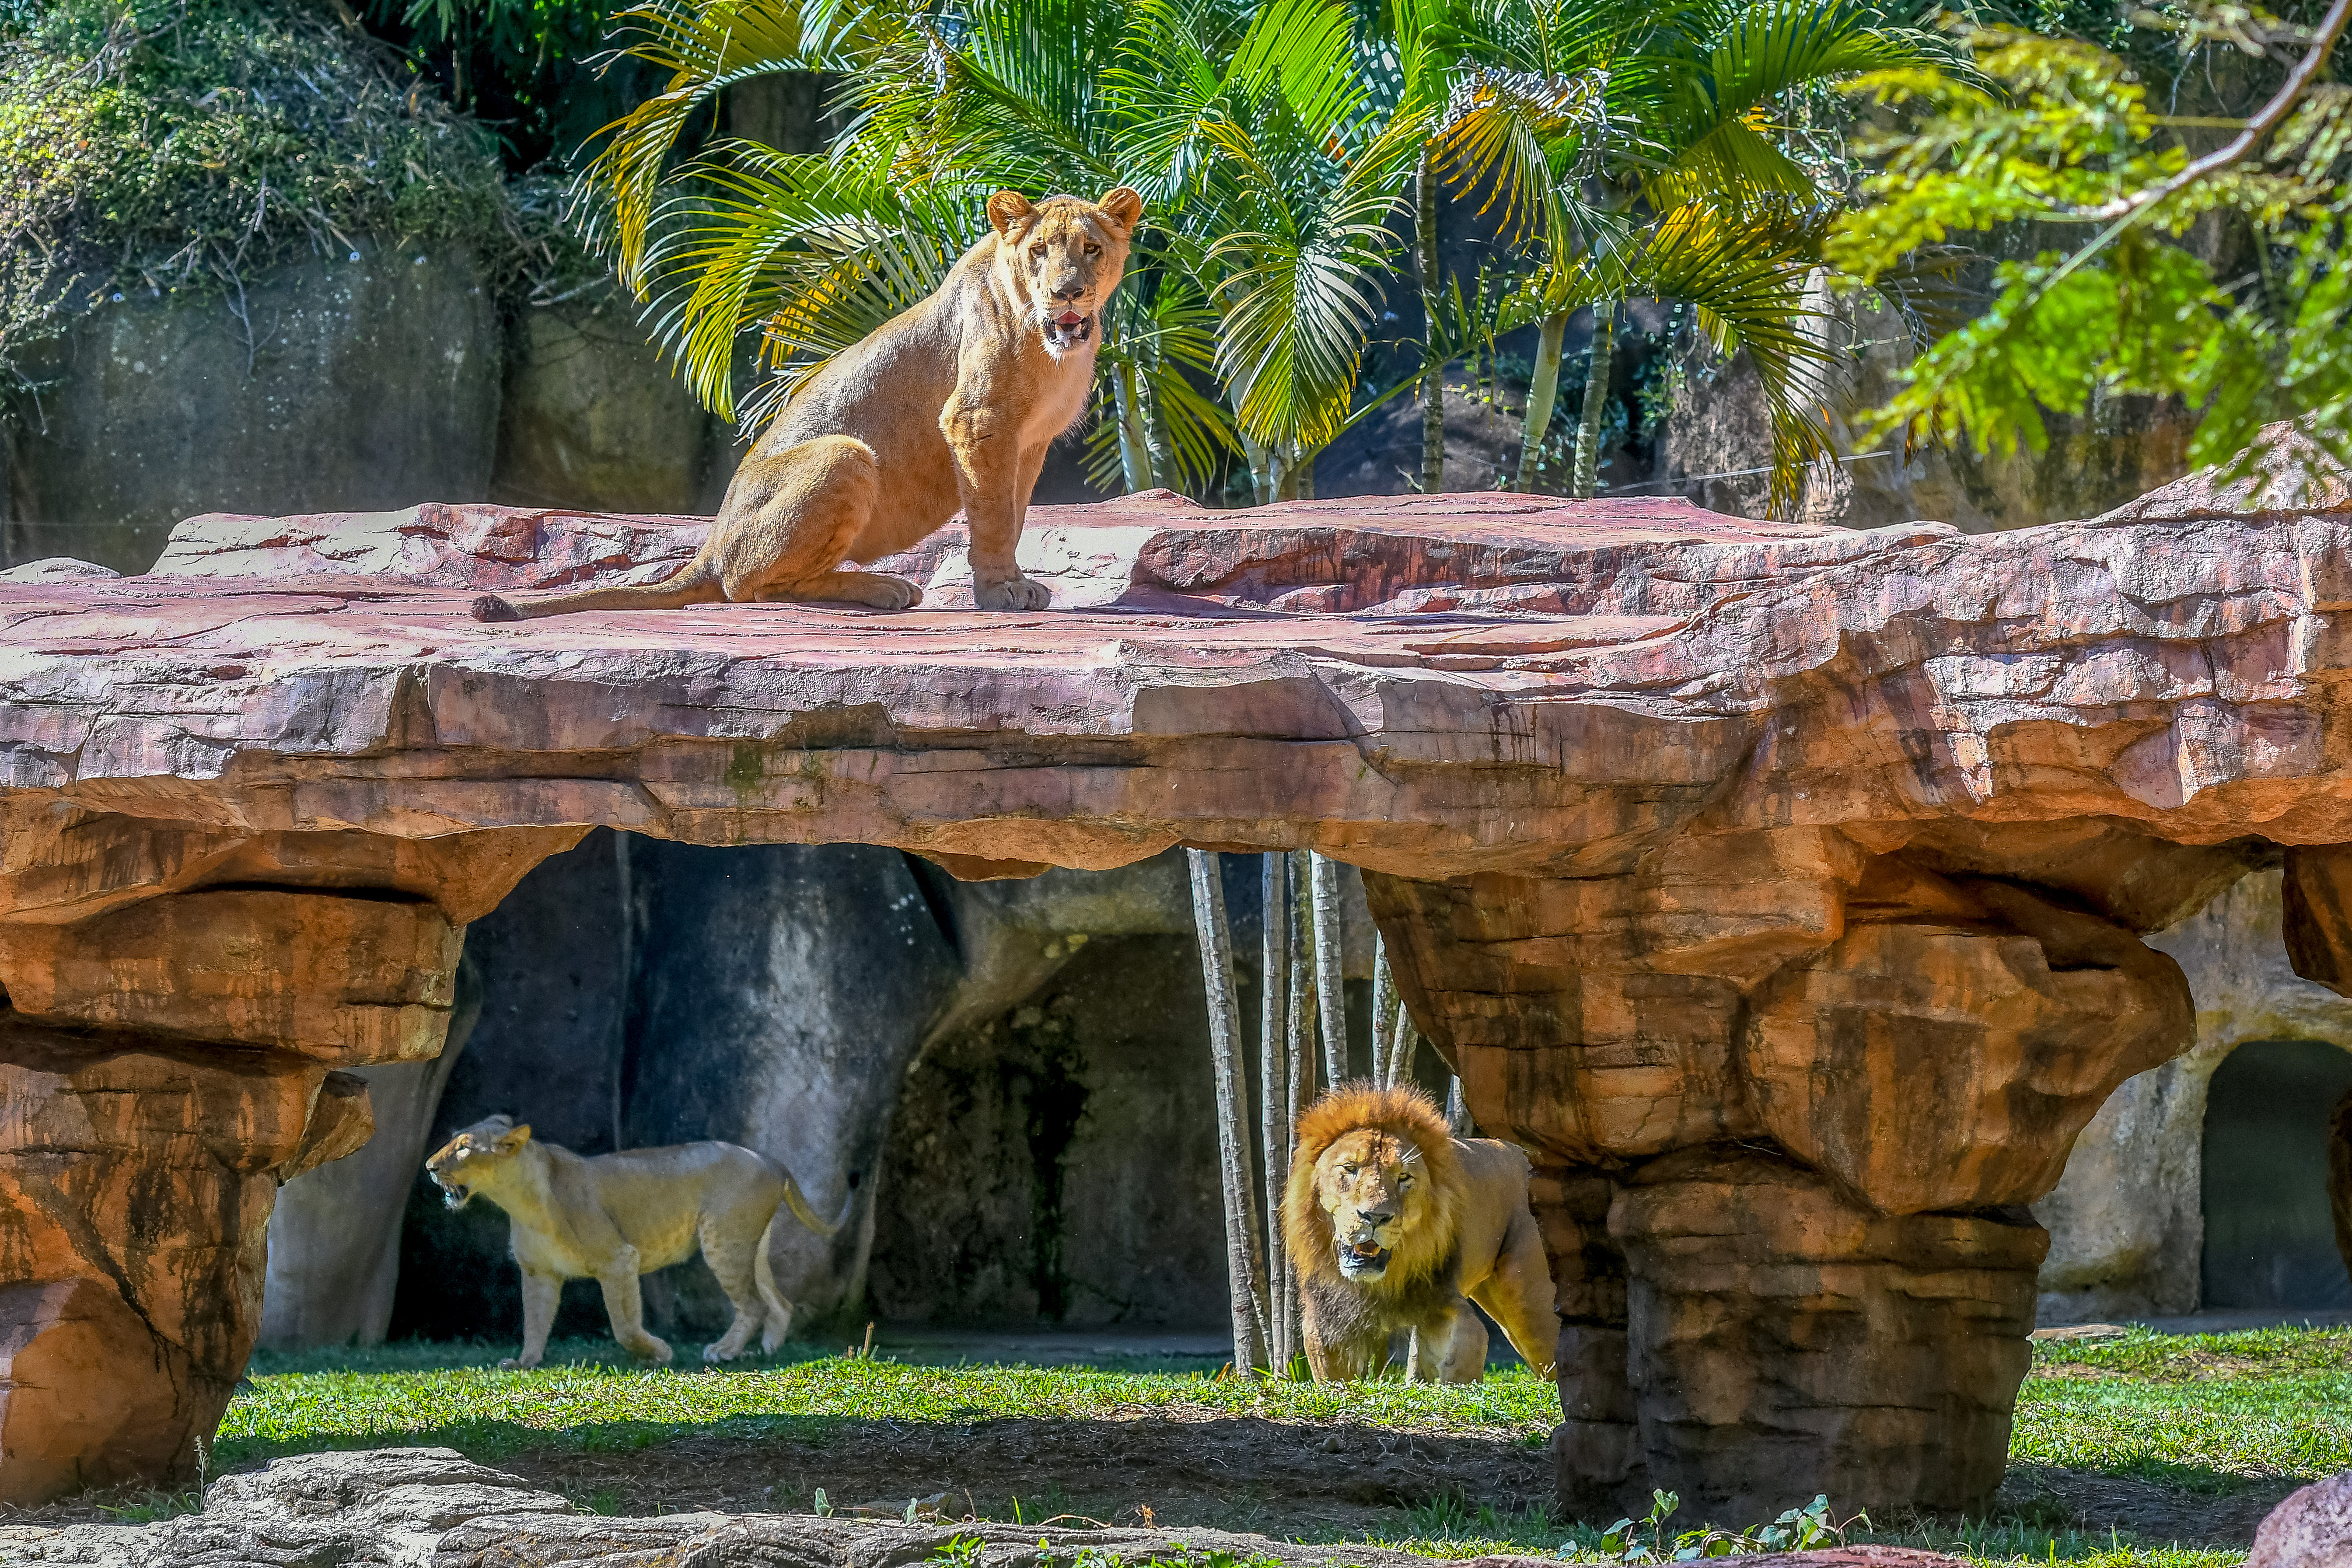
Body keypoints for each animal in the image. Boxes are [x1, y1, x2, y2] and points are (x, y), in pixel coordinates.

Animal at [468, 185, 1138, 625]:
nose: (1067, 292)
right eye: (1039, 251)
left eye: (1090, 249)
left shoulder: (1029, 440)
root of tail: (711, 542)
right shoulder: (976, 421)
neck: (1055, 346)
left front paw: (1018, 582)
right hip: (844, 453)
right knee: (750, 587)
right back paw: (883, 588)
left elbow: (1014, 513)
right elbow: (994, 517)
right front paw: (1000, 591)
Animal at [1279, 1086, 1552, 1382]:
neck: (1382, 1282)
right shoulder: (1328, 1317)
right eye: (1350, 1168)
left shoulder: (1439, 1298)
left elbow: (1469, 1340)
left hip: (1529, 1299)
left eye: (1404, 1177)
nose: (1375, 1217)